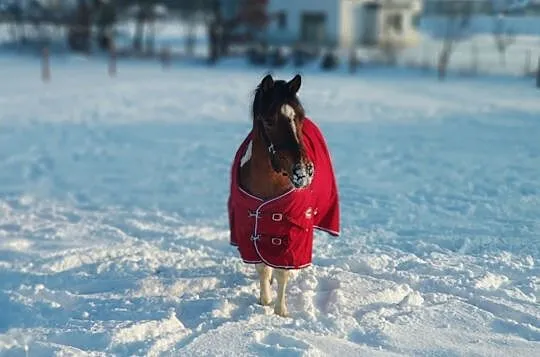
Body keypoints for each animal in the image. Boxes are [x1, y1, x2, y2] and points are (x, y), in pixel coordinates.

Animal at [229, 73, 340, 316]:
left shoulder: (292, 231)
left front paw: (281, 310)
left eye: (300, 116)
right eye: (269, 120)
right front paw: (265, 300)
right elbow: (263, 268)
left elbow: (283, 271)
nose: (303, 171)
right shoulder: (250, 228)